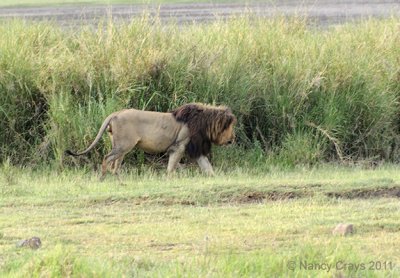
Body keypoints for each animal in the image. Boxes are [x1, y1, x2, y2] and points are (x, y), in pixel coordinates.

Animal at [64, 102, 236, 180]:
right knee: (107, 159)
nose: (232, 140)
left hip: (122, 147)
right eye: (230, 127)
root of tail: (116, 113)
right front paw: (170, 180)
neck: (204, 124)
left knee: (115, 166)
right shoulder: (179, 146)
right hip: (123, 145)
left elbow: (208, 168)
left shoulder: (197, 150)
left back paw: (121, 182)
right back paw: (102, 179)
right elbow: (171, 167)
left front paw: (215, 179)